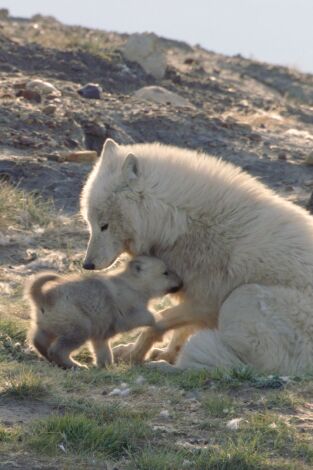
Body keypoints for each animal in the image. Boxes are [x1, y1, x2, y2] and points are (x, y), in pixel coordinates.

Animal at [80, 140, 313, 374]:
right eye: (89, 223)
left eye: (104, 225)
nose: (87, 264)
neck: (178, 223)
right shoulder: (192, 299)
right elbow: (178, 332)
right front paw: (164, 353)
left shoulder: (203, 303)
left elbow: (159, 321)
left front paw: (133, 356)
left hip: (242, 295)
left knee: (226, 365)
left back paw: (163, 368)